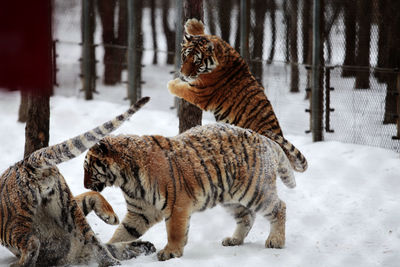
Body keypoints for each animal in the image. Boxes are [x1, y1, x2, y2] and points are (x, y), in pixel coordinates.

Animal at [0, 97, 155, 267]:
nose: (150, 246)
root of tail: (25, 163)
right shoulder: (74, 208)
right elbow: (92, 195)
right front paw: (112, 218)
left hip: (13, 223)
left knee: (32, 242)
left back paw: (19, 264)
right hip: (67, 209)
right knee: (95, 243)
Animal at [83, 123, 304, 262]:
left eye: (88, 167)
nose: (85, 185)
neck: (127, 180)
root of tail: (265, 139)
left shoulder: (176, 205)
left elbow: (175, 232)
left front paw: (170, 253)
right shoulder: (140, 212)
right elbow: (123, 233)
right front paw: (108, 248)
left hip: (254, 190)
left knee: (279, 207)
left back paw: (276, 241)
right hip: (231, 198)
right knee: (247, 217)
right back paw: (234, 240)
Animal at [167, 19, 308, 174]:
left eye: (197, 61)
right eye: (185, 57)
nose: (184, 74)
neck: (221, 56)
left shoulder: (200, 93)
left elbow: (182, 89)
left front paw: (172, 83)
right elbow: (207, 34)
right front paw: (193, 24)